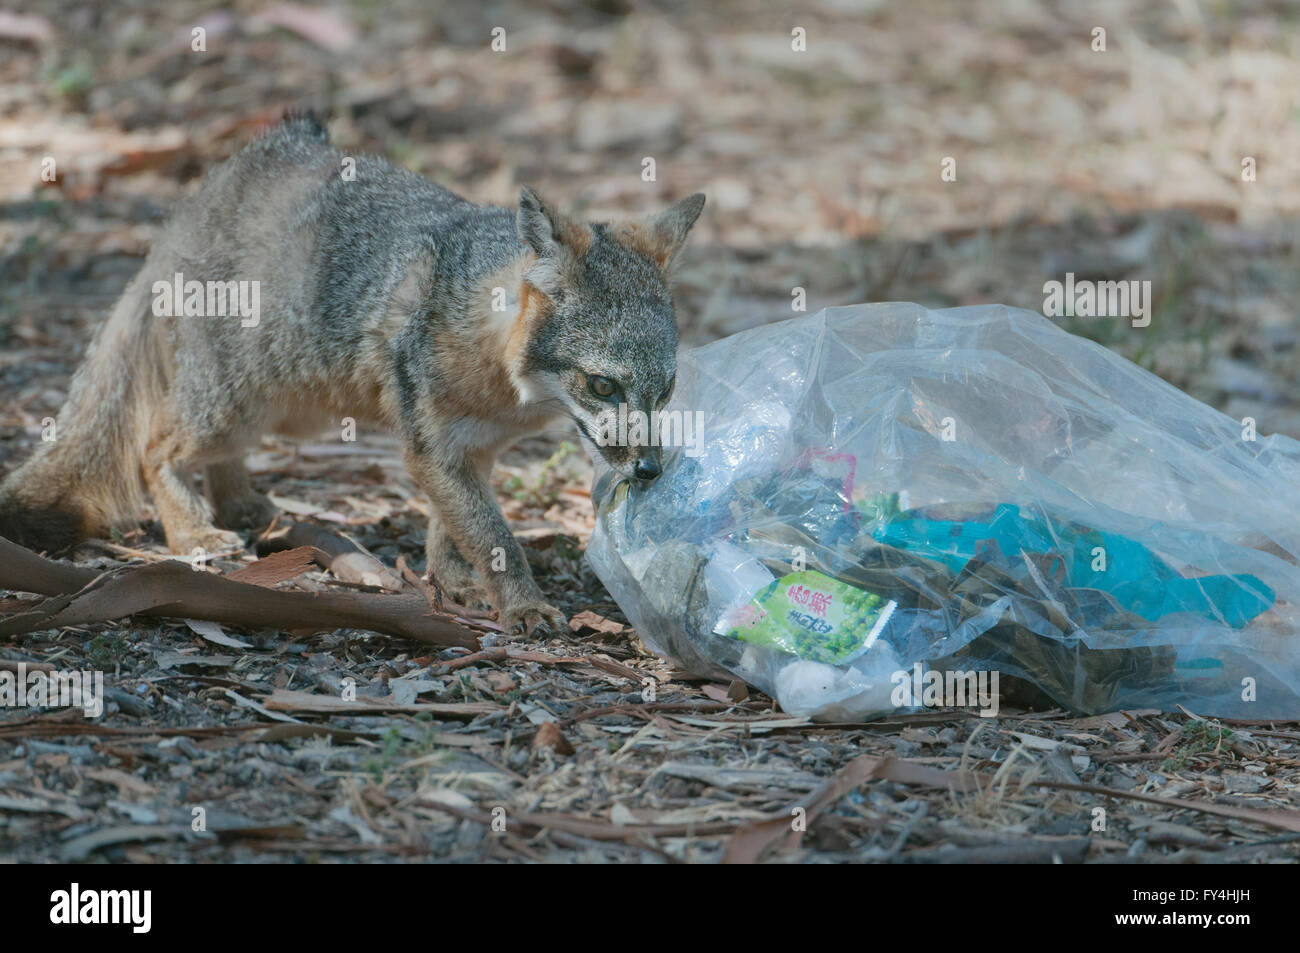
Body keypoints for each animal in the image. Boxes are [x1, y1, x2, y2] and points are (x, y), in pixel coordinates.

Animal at [0, 115, 702, 634]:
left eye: (666, 389)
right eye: (602, 385)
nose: (648, 470)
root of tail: (193, 207)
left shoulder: (469, 451)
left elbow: (454, 527)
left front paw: (455, 583)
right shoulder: (432, 445)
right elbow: (492, 532)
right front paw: (522, 605)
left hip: (273, 408)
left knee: (214, 457)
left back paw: (241, 503)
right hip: (235, 404)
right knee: (156, 449)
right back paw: (194, 530)